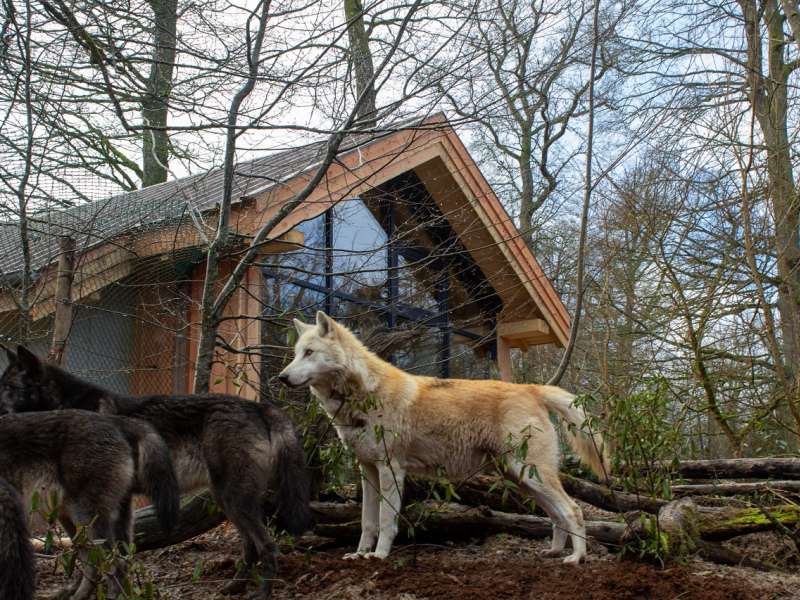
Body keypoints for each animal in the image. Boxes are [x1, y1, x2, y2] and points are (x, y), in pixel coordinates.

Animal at [278, 312, 608, 564]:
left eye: (309, 353)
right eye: (295, 354)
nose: (282, 377)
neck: (362, 395)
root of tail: (532, 388)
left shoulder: (390, 469)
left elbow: (385, 521)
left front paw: (380, 556)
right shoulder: (367, 471)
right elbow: (366, 521)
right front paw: (359, 555)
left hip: (530, 475)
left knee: (574, 510)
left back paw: (576, 558)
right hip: (522, 480)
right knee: (557, 515)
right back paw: (553, 552)